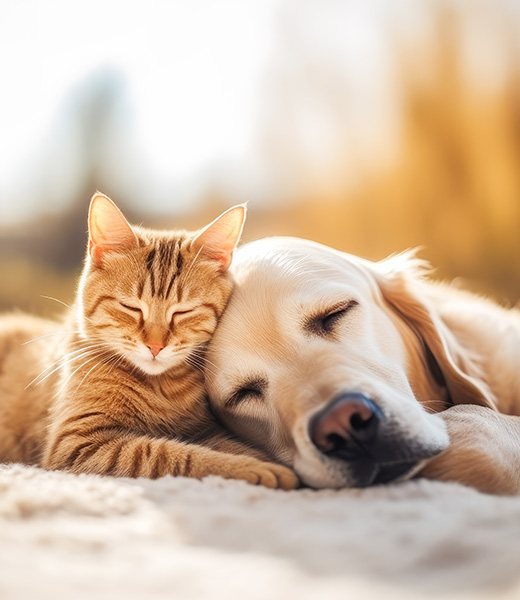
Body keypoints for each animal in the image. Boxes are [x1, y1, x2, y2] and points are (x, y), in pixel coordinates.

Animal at [0, 195, 298, 490]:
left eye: (183, 312)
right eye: (131, 308)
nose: (155, 346)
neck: (160, 387)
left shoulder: (203, 430)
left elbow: (228, 444)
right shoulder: (78, 441)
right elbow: (171, 454)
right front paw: (253, 468)